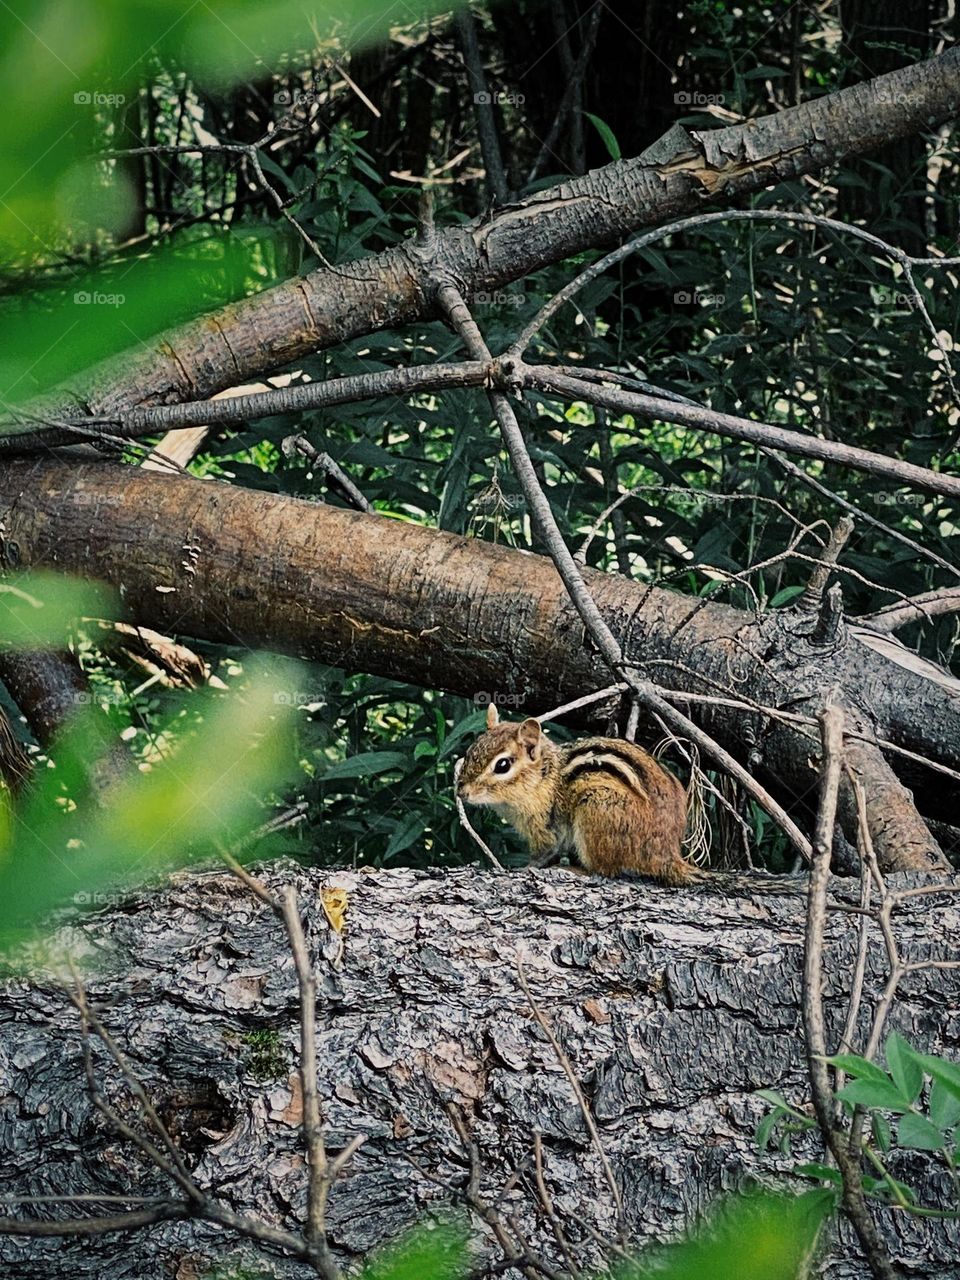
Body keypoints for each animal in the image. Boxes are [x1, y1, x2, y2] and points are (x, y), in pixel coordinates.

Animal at [457, 704, 696, 885]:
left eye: (503, 765)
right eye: (469, 752)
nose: (461, 792)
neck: (544, 779)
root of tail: (666, 854)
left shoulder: (545, 826)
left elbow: (544, 852)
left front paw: (525, 868)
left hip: (596, 810)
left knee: (603, 870)